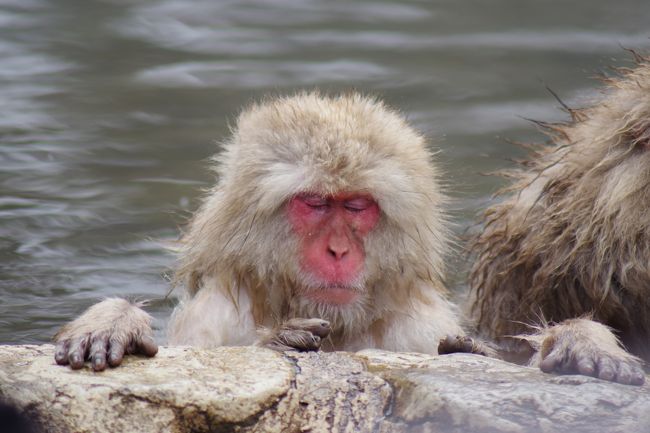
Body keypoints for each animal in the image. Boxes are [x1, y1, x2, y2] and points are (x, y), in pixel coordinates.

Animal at [54, 92, 473, 372]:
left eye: (356, 205)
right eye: (315, 203)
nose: (338, 251)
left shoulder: (422, 328)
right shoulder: (215, 312)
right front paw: (116, 323)